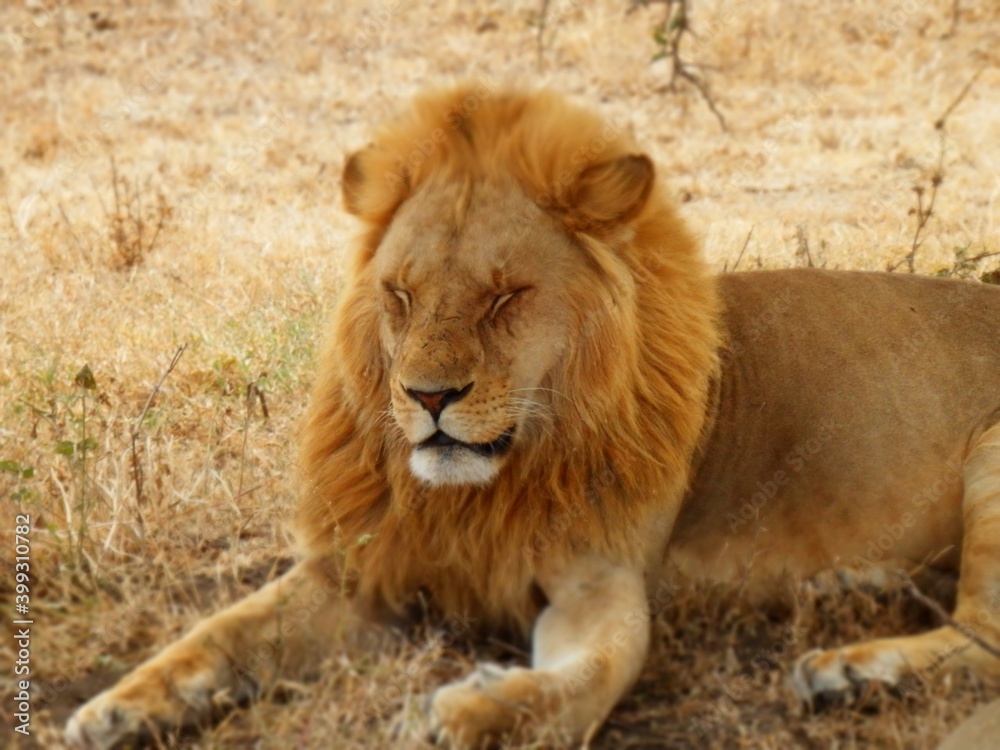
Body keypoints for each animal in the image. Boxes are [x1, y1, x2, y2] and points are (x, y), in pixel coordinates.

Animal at [66, 85, 1000, 749]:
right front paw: (117, 708)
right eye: (399, 295)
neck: (477, 493)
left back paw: (856, 672)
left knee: (984, 640)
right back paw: (852, 590)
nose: (428, 398)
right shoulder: (363, 569)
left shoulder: (599, 582)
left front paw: (461, 717)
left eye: (506, 297)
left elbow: (583, 681)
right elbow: (220, 633)